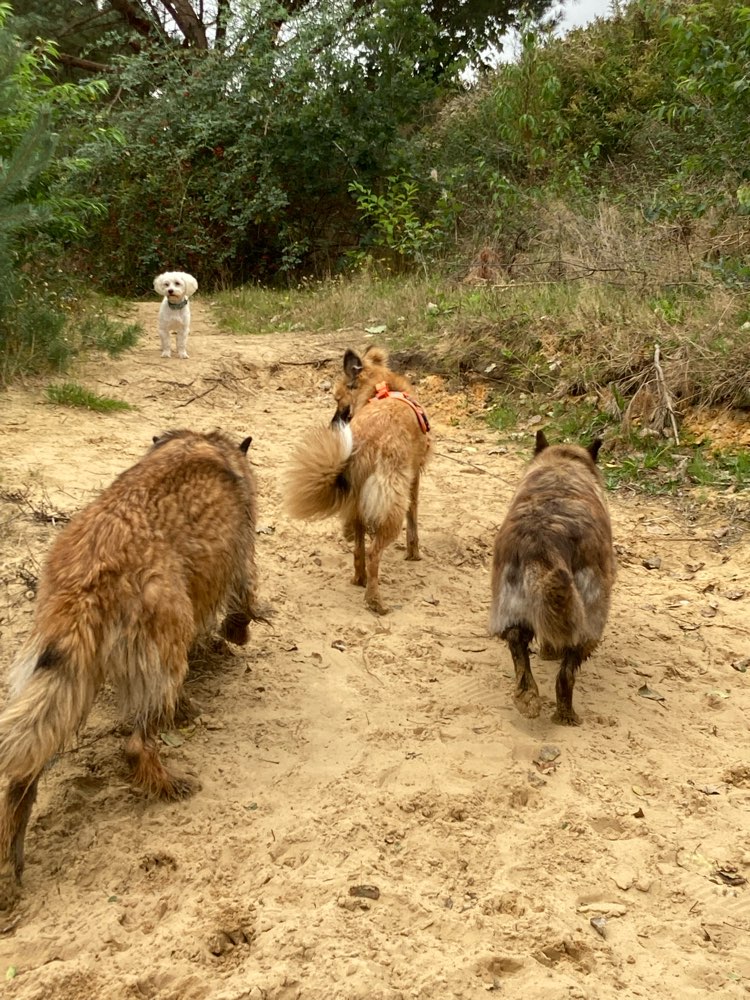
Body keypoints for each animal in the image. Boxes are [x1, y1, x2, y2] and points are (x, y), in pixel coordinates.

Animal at [286, 346, 432, 616]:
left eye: (337, 398)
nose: (333, 423)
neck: (381, 389)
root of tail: (364, 441)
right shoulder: (414, 477)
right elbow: (413, 519)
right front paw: (413, 553)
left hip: (357, 498)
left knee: (359, 545)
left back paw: (359, 578)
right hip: (391, 501)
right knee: (374, 552)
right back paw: (375, 599)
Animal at [494, 430, 616, 728]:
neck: (563, 462)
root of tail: (544, 540)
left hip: (513, 604)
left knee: (517, 645)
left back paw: (527, 698)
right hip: (589, 618)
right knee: (566, 674)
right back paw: (566, 715)